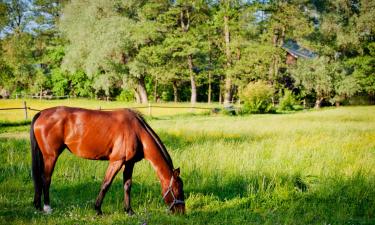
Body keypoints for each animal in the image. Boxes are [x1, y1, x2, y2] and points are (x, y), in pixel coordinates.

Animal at [30, 106, 186, 215]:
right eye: (177, 189)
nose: (182, 212)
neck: (137, 132)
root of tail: (41, 113)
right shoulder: (116, 161)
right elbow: (106, 184)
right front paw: (98, 209)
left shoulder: (129, 163)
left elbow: (127, 185)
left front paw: (129, 210)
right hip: (51, 156)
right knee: (46, 179)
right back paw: (47, 208)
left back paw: (38, 206)